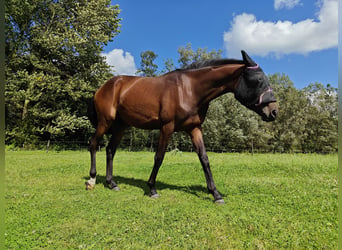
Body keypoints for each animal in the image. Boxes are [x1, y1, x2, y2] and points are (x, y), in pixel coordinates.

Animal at [85, 50, 278, 203]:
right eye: (258, 79)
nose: (274, 111)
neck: (190, 89)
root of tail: (103, 87)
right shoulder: (167, 127)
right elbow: (159, 157)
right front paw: (152, 189)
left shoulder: (194, 129)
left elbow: (204, 159)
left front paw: (215, 194)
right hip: (105, 122)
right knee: (93, 144)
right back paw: (92, 180)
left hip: (120, 126)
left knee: (110, 150)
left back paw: (112, 183)